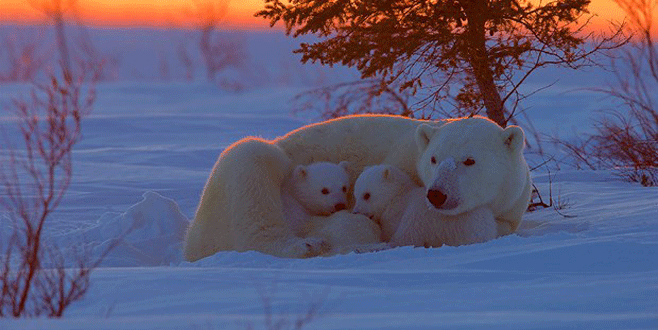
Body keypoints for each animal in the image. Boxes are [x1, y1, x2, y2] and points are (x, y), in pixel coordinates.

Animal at [182, 113, 532, 260]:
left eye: (469, 161)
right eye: (434, 158)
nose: (437, 193)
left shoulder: (511, 207)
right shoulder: (403, 154)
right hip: (238, 182)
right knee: (251, 167)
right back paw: (307, 245)